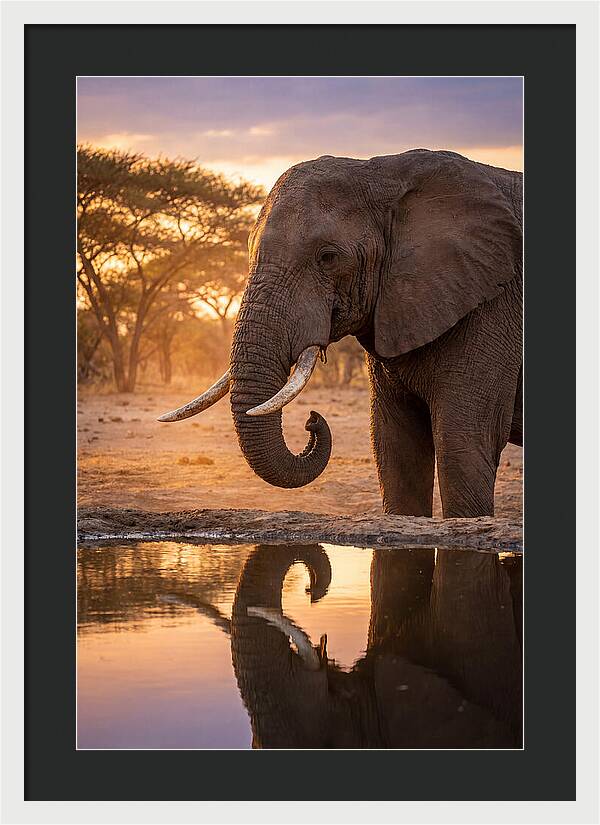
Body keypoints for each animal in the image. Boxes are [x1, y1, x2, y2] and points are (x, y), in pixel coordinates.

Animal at [160, 149, 523, 518]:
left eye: (328, 257)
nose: (312, 420)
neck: (386, 173)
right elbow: (395, 447)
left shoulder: (494, 305)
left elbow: (462, 443)